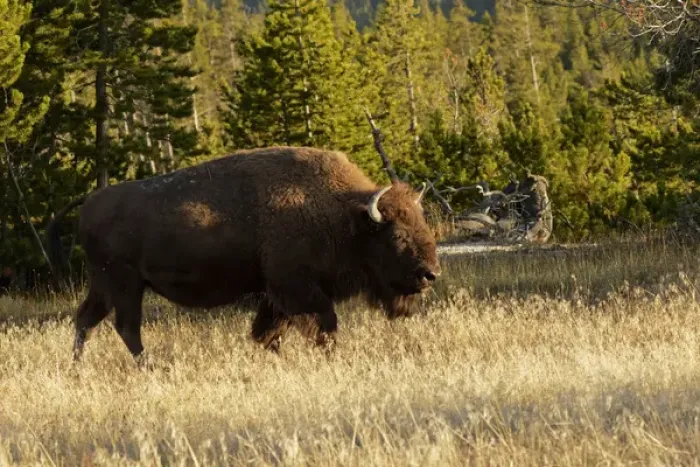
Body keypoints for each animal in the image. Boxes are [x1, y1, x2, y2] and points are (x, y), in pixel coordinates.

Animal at [49, 146, 441, 367]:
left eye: (422, 222)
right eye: (397, 234)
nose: (430, 274)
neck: (343, 214)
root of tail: (89, 204)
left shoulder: (275, 295)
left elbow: (267, 333)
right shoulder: (297, 290)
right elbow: (323, 327)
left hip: (105, 285)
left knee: (87, 319)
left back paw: (76, 367)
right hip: (125, 284)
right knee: (126, 326)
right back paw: (150, 367)